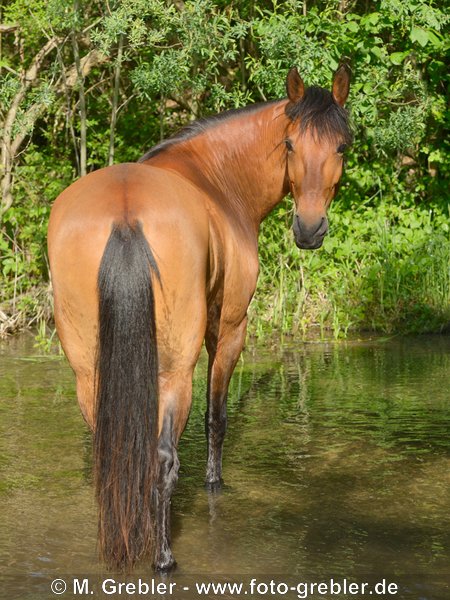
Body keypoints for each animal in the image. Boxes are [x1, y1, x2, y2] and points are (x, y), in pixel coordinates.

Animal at [48, 65, 352, 572]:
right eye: (289, 144)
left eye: (342, 147)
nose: (309, 229)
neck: (216, 179)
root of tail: (125, 213)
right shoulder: (228, 330)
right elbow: (217, 417)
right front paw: (214, 483)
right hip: (175, 368)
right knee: (162, 457)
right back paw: (163, 557)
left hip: (89, 371)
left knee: (113, 453)